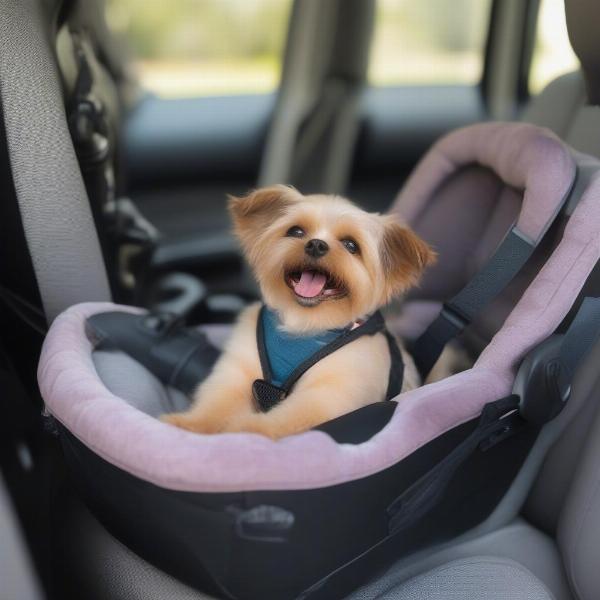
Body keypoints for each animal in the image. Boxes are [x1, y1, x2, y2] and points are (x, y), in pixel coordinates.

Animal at [162, 185, 434, 438]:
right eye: (296, 231)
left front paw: (245, 432)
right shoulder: (239, 371)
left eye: (350, 245)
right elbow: (216, 406)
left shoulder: (330, 393)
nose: (316, 245)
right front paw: (187, 426)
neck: (303, 322)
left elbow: (282, 421)